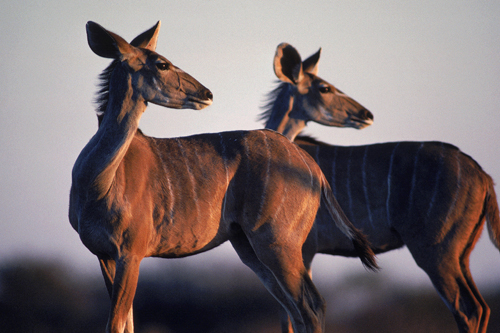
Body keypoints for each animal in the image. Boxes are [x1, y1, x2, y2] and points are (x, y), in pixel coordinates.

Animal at [68, 22, 376, 330]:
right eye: (162, 63)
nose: (207, 93)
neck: (97, 182)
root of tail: (313, 167)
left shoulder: (131, 252)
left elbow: (116, 323)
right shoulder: (106, 256)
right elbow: (126, 323)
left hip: (279, 243)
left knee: (311, 305)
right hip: (251, 248)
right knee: (300, 308)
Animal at [262, 42, 500, 332]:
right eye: (324, 88)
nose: (366, 114)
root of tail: (483, 175)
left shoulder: (302, 251)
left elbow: (292, 313)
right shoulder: (303, 253)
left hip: (435, 252)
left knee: (468, 308)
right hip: (461, 254)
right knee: (482, 307)